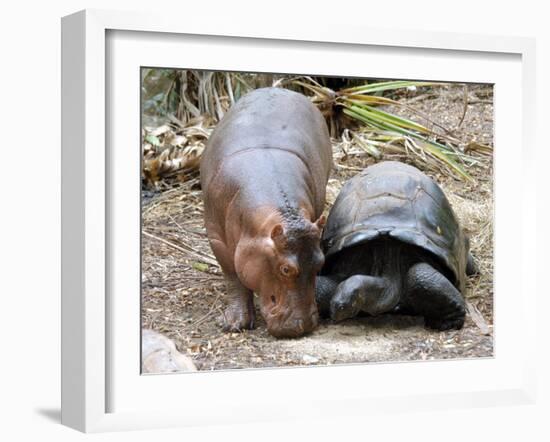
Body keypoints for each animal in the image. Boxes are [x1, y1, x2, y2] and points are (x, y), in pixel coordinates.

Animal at [202, 89, 334, 338]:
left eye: (321, 262)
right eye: (285, 269)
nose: (303, 325)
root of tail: (280, 89)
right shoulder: (217, 239)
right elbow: (233, 277)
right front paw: (233, 324)